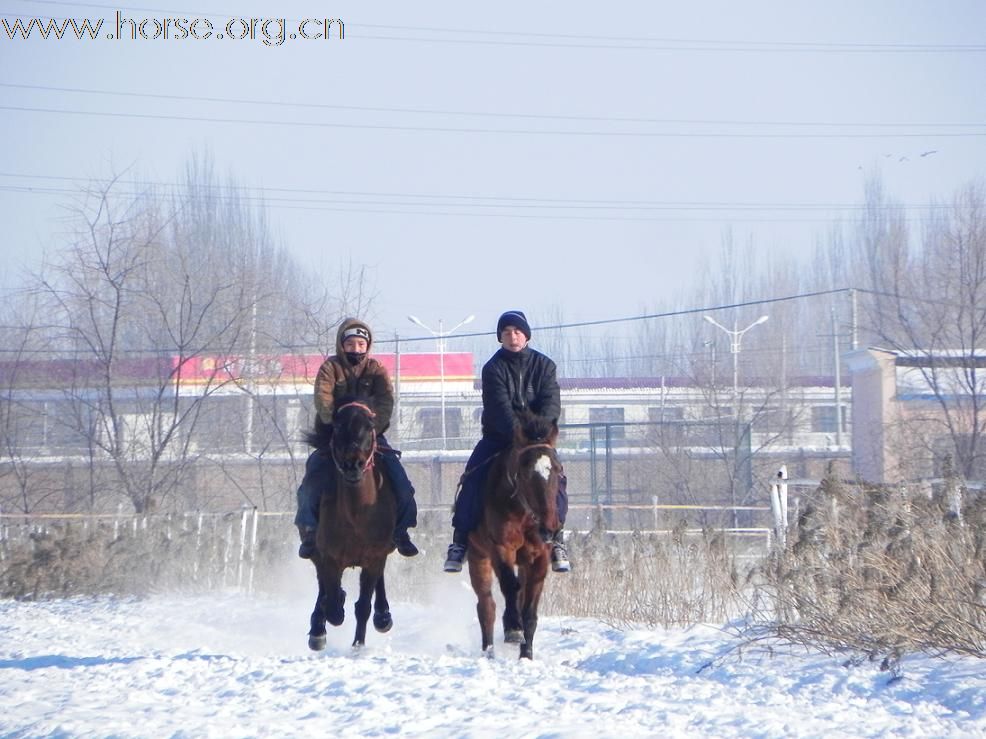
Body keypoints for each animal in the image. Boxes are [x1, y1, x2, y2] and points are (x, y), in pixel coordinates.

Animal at [304, 402, 396, 652]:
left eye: (369, 426)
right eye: (337, 426)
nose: (353, 464)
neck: (356, 515)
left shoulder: (374, 557)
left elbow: (363, 605)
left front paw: (358, 645)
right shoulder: (329, 557)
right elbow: (333, 606)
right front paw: (324, 623)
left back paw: (383, 617)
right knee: (323, 588)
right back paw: (318, 628)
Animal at [466, 410, 556, 660]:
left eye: (557, 470)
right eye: (525, 472)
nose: (548, 529)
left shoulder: (540, 557)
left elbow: (530, 607)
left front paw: (527, 655)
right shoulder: (501, 548)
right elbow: (509, 586)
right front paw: (514, 628)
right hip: (477, 556)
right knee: (486, 606)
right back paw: (488, 651)